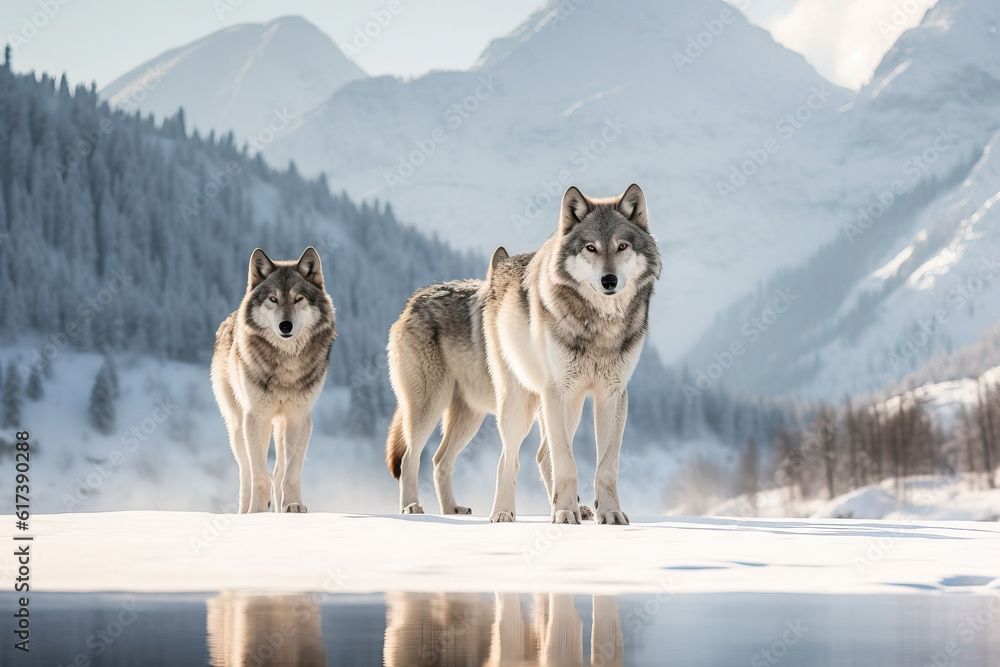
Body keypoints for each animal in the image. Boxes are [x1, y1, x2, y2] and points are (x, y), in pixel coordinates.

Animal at [211, 247, 336, 513]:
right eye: (273, 299)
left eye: (298, 299)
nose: (285, 325)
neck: (286, 365)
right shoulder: (256, 417)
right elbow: (259, 474)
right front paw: (257, 511)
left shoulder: (299, 417)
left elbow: (290, 473)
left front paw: (294, 506)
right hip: (239, 427)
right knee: (246, 471)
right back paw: (245, 510)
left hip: (284, 426)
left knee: (278, 472)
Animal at [483, 184, 660, 525]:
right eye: (591, 248)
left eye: (621, 246)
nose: (609, 280)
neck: (601, 325)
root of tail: (501, 266)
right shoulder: (556, 391)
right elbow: (566, 461)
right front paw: (564, 513)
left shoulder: (613, 393)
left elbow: (607, 467)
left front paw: (610, 513)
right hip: (521, 403)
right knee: (507, 458)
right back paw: (502, 512)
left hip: (574, 404)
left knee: (541, 454)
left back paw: (579, 508)